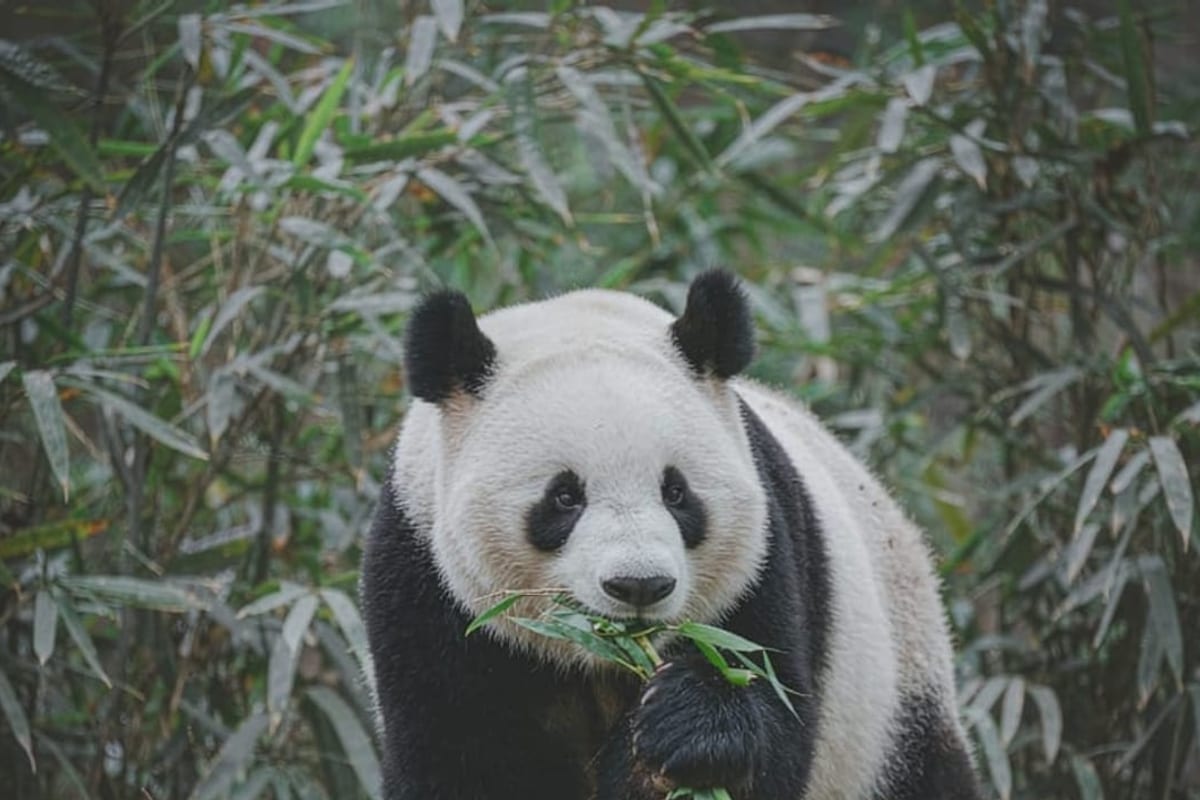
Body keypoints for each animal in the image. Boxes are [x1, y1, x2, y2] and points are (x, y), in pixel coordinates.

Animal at [360, 270, 983, 800]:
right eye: (564, 496)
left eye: (676, 492)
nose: (639, 586)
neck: (602, 662)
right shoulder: (426, 585)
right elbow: (464, 761)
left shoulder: (765, 563)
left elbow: (768, 712)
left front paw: (684, 729)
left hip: (898, 703)